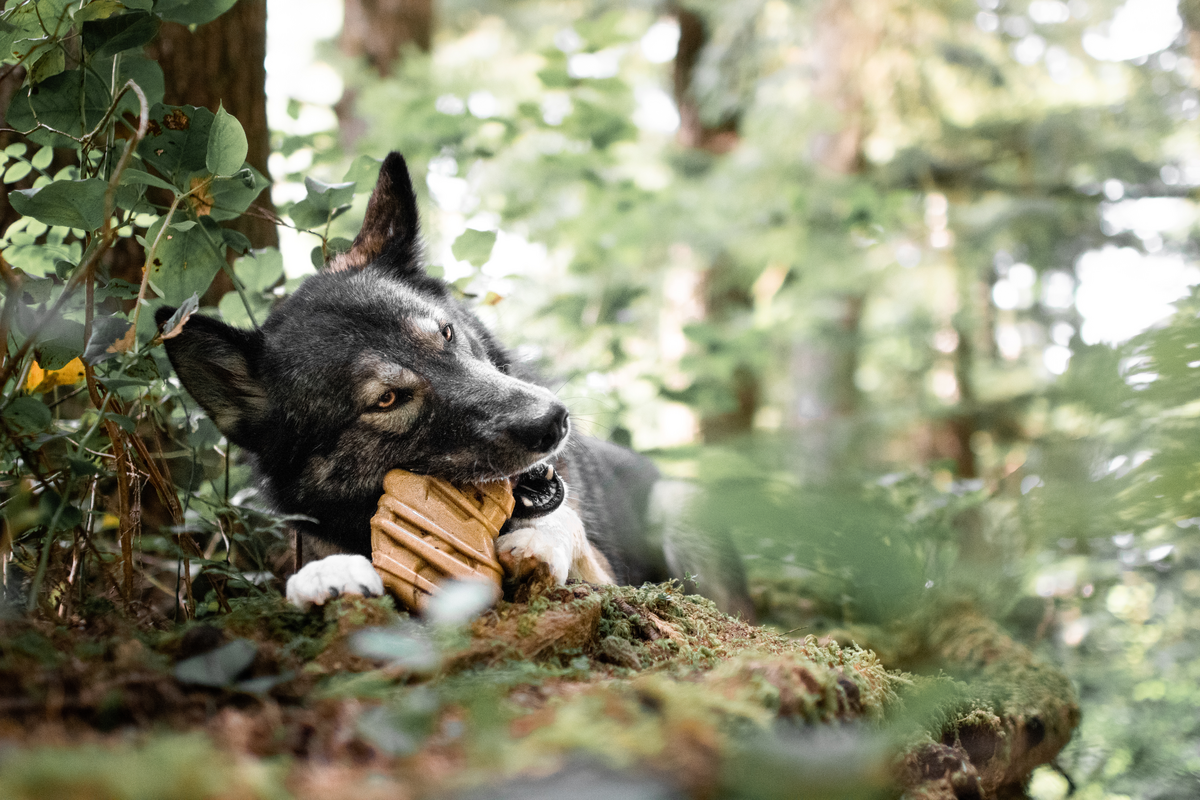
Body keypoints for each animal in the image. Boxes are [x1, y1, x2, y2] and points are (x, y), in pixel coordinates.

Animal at [159, 153, 748, 618]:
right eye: (387, 399)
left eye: (445, 333)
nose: (553, 422)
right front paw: (326, 575)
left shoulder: (610, 573)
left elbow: (570, 533)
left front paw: (543, 540)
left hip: (681, 505)